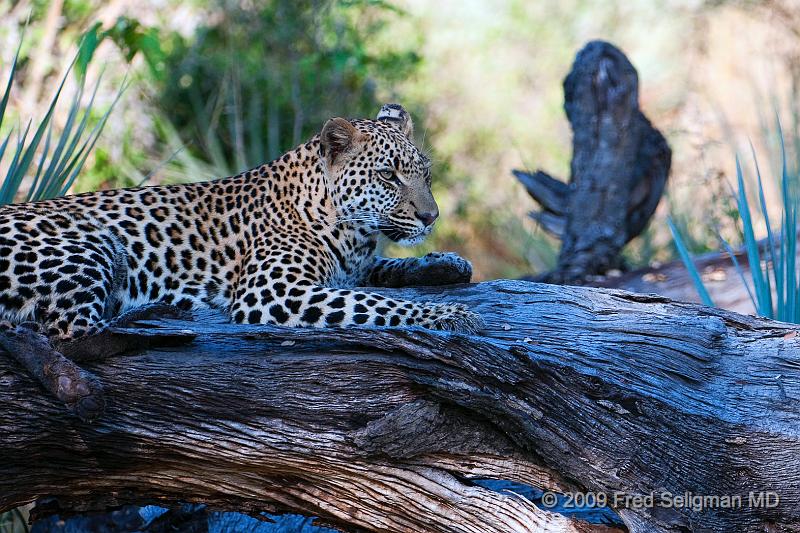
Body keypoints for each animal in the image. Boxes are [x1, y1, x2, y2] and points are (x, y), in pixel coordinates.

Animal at [0, 103, 484, 354]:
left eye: (425, 174)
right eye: (388, 176)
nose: (431, 217)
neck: (352, 231)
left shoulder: (355, 267)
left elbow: (382, 273)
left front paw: (446, 263)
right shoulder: (272, 291)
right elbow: (375, 303)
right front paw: (452, 315)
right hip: (90, 241)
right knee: (67, 333)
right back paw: (162, 315)